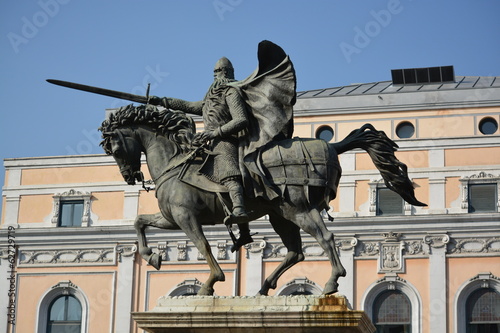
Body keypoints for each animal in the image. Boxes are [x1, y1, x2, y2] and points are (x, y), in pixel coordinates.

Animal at [98, 104, 426, 296]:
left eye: (115, 147)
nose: (129, 176)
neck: (175, 161)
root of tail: (332, 145)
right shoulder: (171, 218)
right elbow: (139, 222)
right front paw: (152, 256)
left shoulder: (185, 217)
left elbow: (203, 246)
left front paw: (211, 282)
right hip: (280, 216)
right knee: (296, 252)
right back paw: (264, 287)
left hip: (298, 210)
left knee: (326, 238)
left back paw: (332, 283)